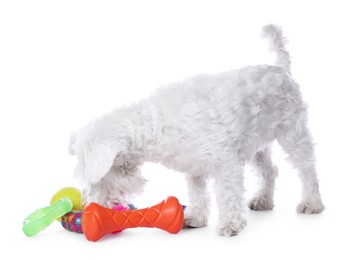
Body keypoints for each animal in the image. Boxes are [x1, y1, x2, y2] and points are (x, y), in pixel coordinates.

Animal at [70, 24, 326, 236]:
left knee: (308, 169)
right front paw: (195, 217)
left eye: (97, 177)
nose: (90, 206)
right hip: (256, 145)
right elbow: (198, 194)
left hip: (293, 134)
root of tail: (281, 69)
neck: (154, 124)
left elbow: (227, 194)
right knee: (270, 171)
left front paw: (230, 225)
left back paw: (312, 203)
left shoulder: (227, 164)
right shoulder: (193, 168)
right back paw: (263, 200)